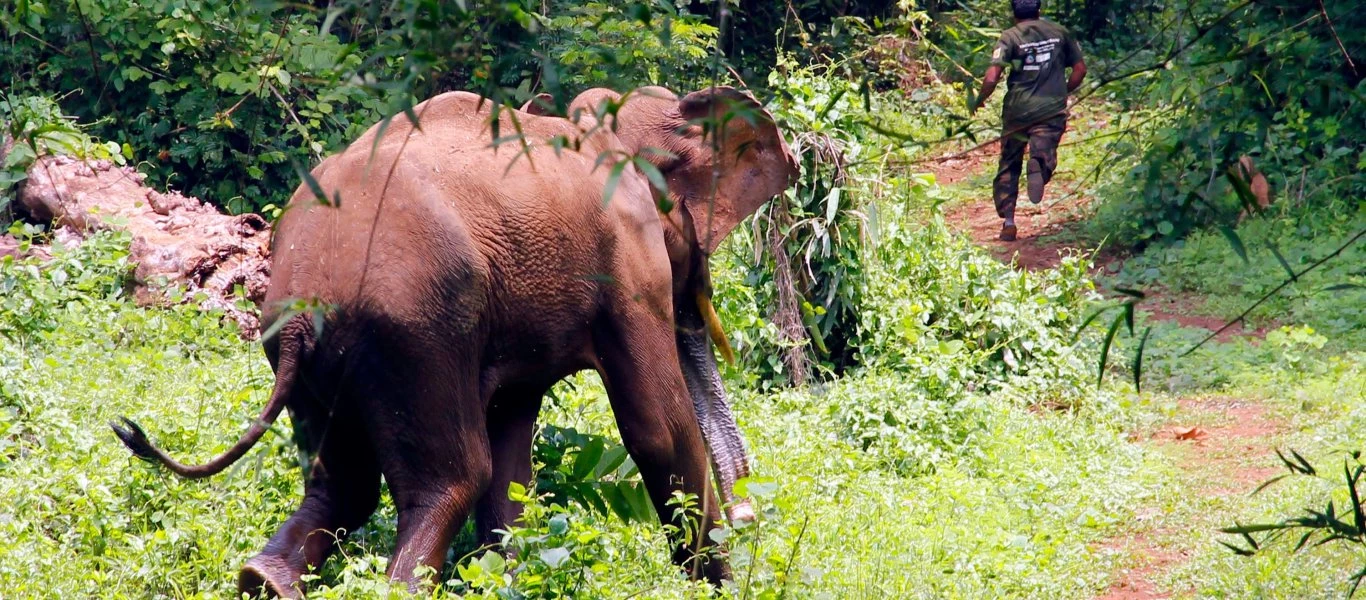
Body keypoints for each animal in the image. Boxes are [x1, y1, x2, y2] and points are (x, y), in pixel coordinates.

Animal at [114, 85, 797, 600]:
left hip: (310, 346)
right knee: (454, 475)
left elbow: (513, 447)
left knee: (345, 481)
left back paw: (262, 581)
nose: (750, 525)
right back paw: (393, 588)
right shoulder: (628, 264)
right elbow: (656, 429)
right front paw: (714, 585)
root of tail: (307, 303)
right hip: (416, 333)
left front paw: (512, 582)